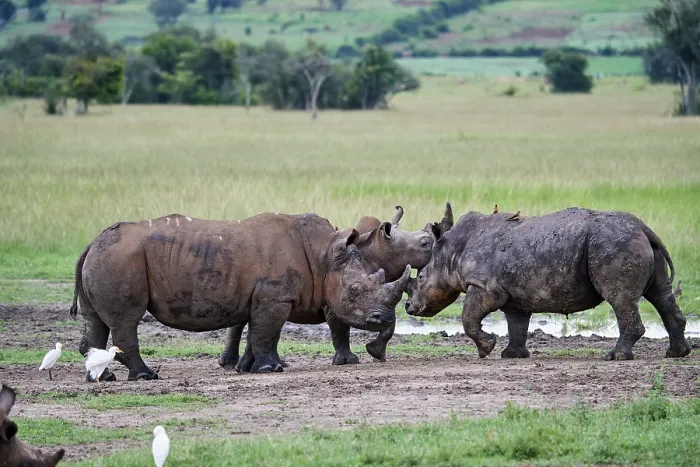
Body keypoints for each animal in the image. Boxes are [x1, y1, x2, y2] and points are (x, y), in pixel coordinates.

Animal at [70, 212, 411, 380]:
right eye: (355, 291)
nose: (383, 319)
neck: (324, 256)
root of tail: (91, 242)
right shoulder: (275, 298)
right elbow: (267, 333)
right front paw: (272, 370)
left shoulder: (262, 297)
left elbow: (256, 332)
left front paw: (246, 368)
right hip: (118, 259)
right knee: (126, 321)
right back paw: (146, 376)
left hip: (105, 257)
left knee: (96, 321)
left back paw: (105, 378)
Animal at [219, 204, 445, 371]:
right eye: (425, 244)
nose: (437, 244)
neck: (381, 251)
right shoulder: (339, 292)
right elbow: (340, 327)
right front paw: (348, 360)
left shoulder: (374, 296)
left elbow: (389, 320)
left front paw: (376, 352)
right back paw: (235, 364)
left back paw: (241, 365)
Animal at [405, 205, 692, 361]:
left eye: (421, 278)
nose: (409, 307)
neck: (450, 252)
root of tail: (644, 228)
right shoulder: (513, 295)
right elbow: (516, 323)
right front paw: (512, 355)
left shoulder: (484, 287)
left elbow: (468, 318)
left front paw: (487, 348)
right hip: (630, 241)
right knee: (660, 294)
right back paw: (677, 354)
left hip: (613, 242)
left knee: (620, 299)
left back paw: (615, 357)